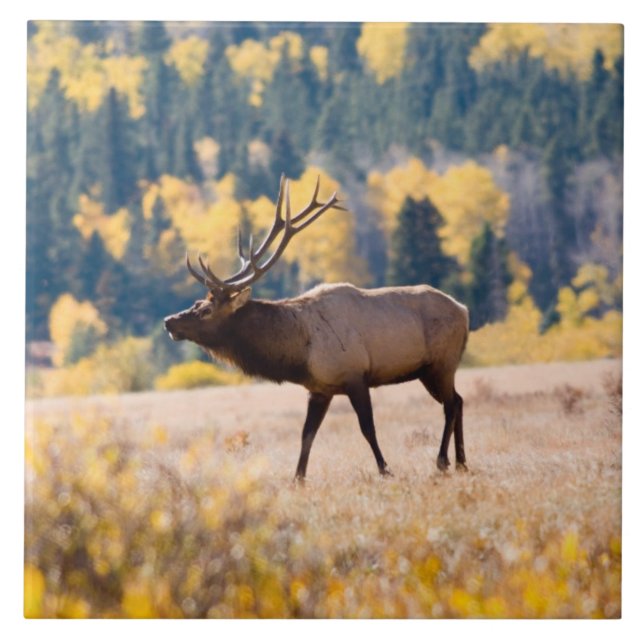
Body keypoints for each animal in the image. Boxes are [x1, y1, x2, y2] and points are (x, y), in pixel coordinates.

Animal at [164, 176, 469, 482]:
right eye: (197, 302)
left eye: (206, 310)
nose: (169, 321)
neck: (299, 352)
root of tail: (464, 310)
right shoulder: (319, 388)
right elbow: (307, 434)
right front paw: (298, 479)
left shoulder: (355, 375)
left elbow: (367, 428)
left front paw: (385, 470)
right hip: (430, 370)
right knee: (458, 400)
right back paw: (462, 462)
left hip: (441, 362)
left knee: (450, 405)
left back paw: (443, 461)